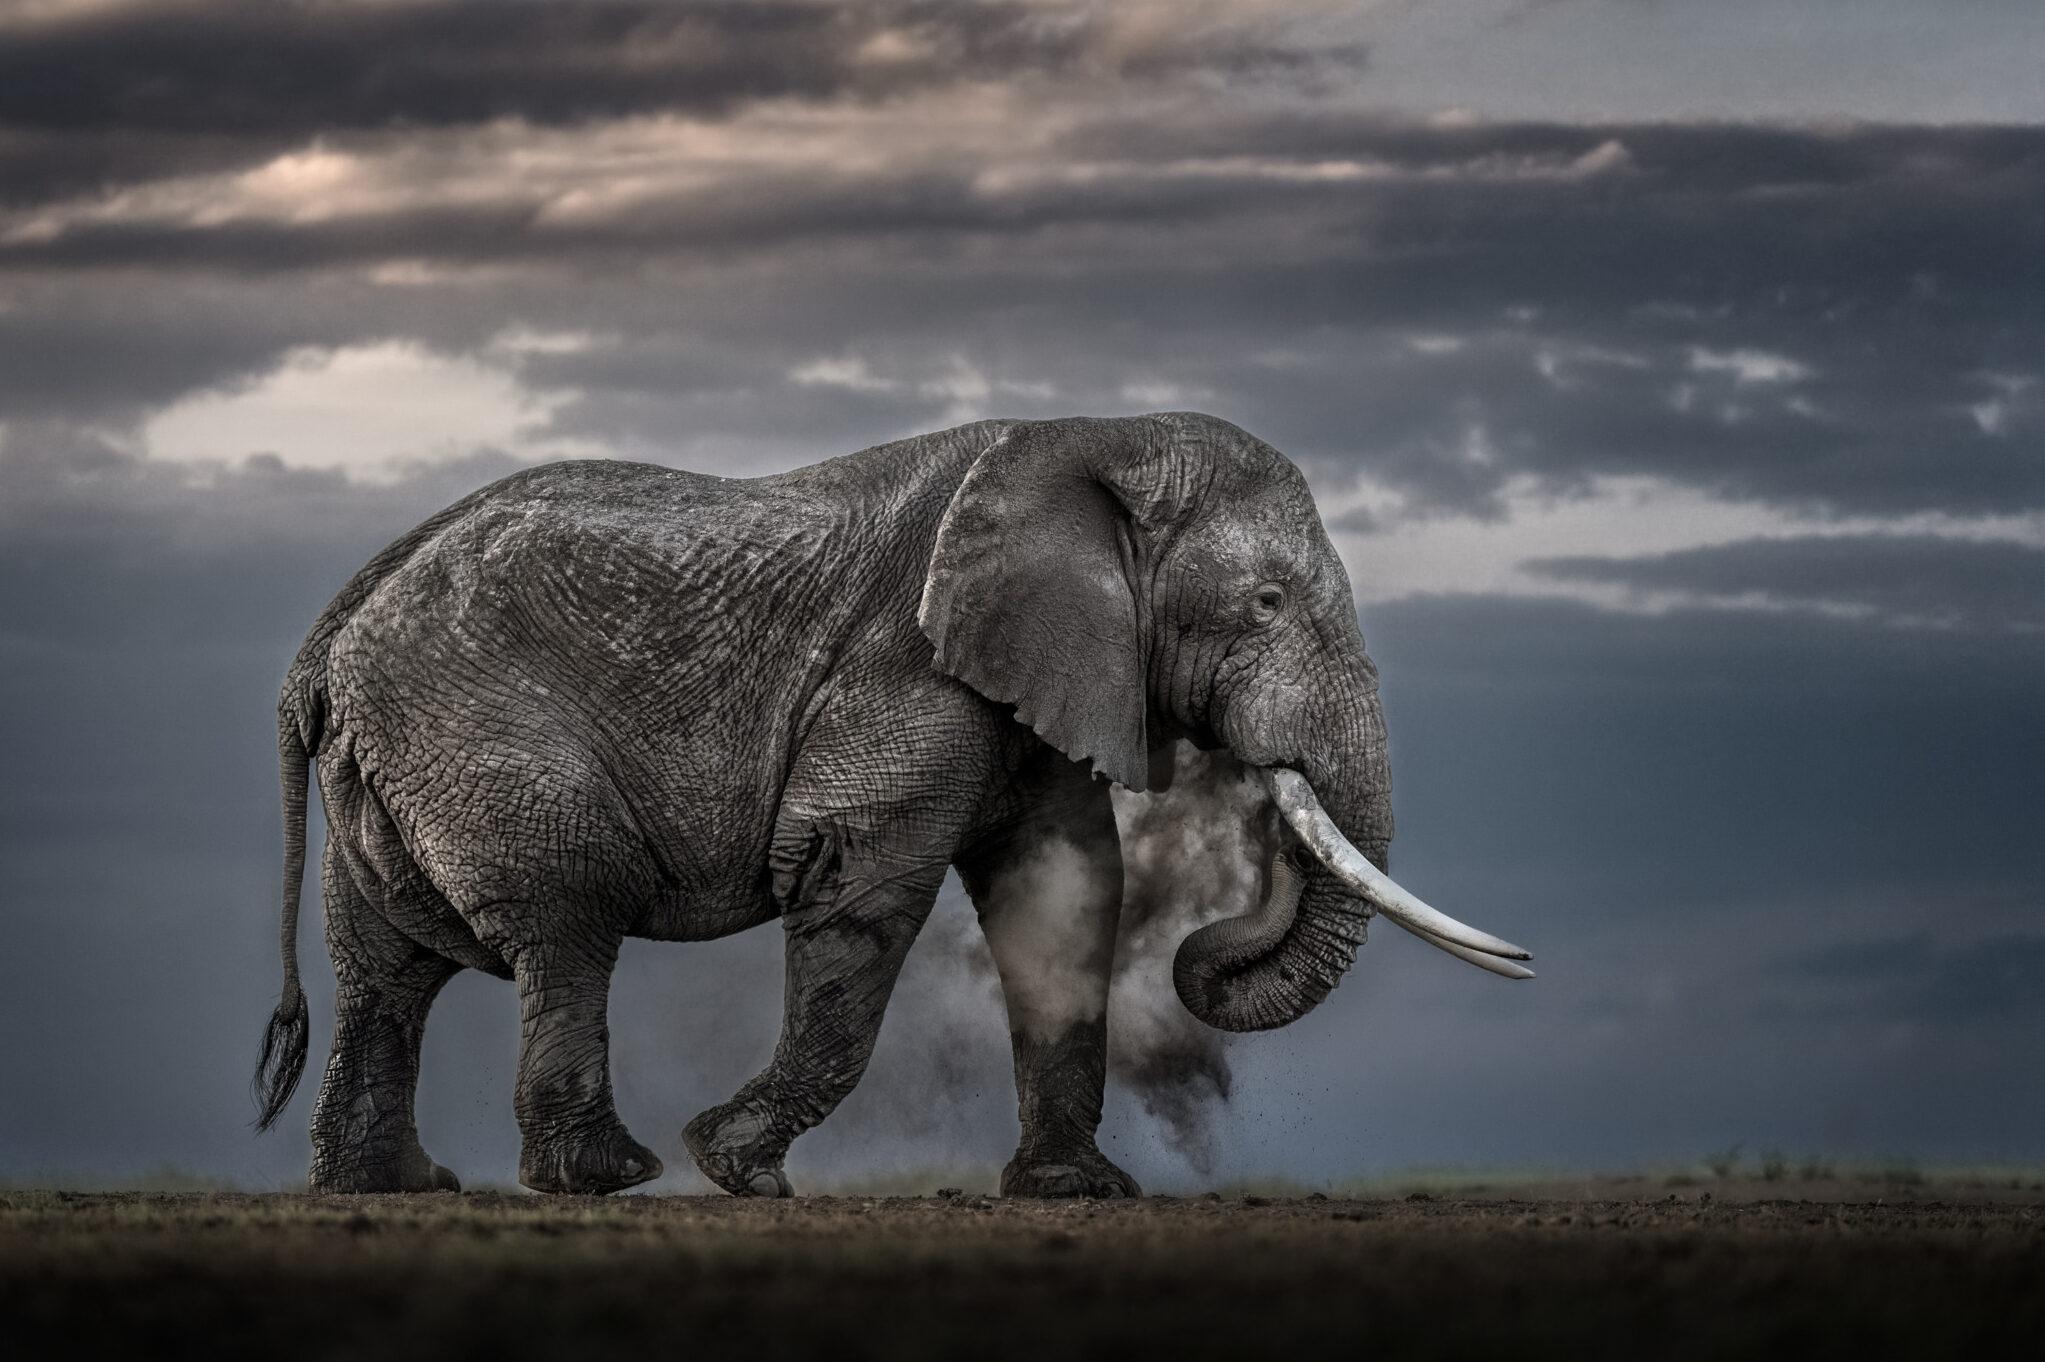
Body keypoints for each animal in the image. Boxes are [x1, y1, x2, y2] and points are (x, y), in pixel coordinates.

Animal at [252, 411, 1531, 1198]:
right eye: (1265, 601)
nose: (1210, 945)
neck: (1079, 438)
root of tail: (324, 638)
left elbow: (1065, 891)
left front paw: (1076, 1194)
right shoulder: (907, 673)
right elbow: (862, 882)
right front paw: (737, 1170)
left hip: (395, 758)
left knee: (385, 967)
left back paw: (392, 1185)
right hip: (481, 736)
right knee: (562, 928)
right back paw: (612, 1177)